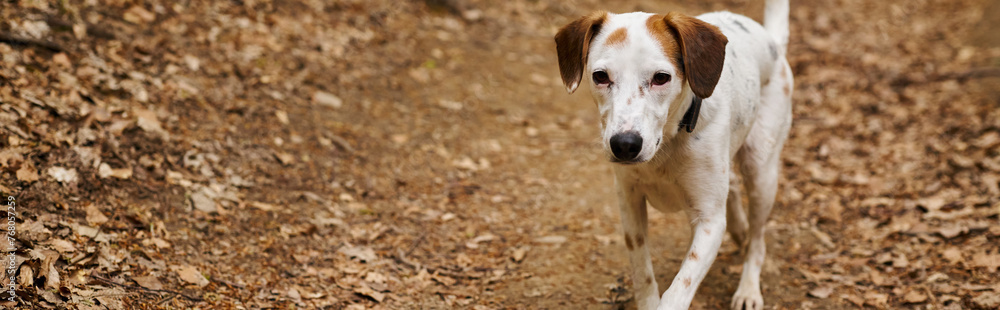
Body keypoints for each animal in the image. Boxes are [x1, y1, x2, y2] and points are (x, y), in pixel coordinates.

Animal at [552, 1, 792, 308]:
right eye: (600, 76)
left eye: (661, 78)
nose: (625, 145)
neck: (665, 145)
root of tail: (771, 40)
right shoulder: (630, 202)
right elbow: (642, 270)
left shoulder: (709, 222)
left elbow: (678, 291)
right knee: (734, 190)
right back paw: (739, 229)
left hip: (761, 172)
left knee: (758, 240)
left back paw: (749, 288)